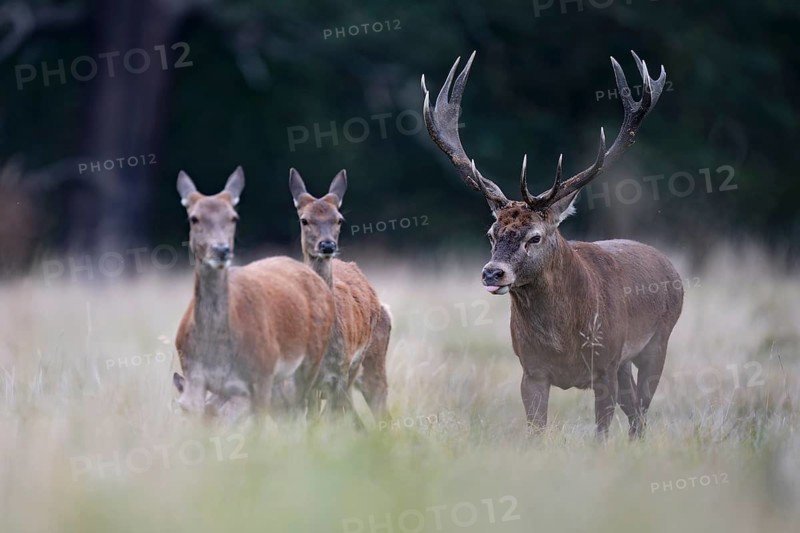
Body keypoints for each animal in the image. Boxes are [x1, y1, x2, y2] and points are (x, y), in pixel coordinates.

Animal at [172, 166, 336, 424]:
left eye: (233, 217)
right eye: (194, 218)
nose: (221, 250)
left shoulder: (262, 375)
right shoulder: (194, 375)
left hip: (310, 361)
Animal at [288, 168, 391, 418]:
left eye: (339, 219)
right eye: (304, 219)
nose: (327, 245)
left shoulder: (340, 372)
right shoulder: (303, 380)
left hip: (370, 365)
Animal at [421, 51, 683, 437]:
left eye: (535, 236)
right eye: (491, 233)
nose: (492, 273)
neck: (563, 341)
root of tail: (669, 265)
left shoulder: (604, 365)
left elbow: (601, 433)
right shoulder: (530, 370)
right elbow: (536, 433)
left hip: (657, 341)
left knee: (642, 412)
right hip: (625, 363)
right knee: (635, 409)